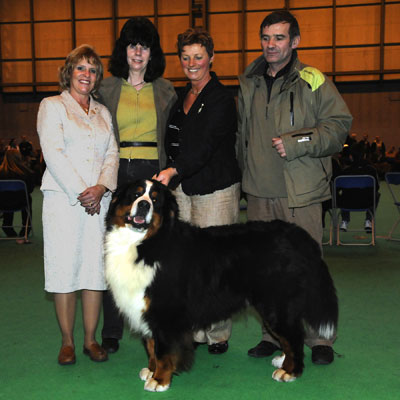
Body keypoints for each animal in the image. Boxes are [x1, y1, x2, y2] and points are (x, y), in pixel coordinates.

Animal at [104, 180, 338, 392]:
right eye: (135, 195)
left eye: (155, 200)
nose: (144, 205)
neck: (145, 244)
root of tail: (296, 233)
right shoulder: (144, 307)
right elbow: (152, 346)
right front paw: (151, 370)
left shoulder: (164, 311)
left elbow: (163, 350)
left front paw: (160, 380)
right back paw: (283, 360)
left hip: (277, 303)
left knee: (294, 336)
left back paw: (290, 371)